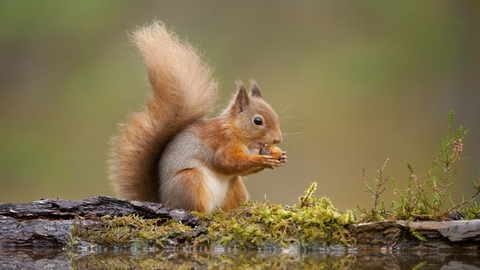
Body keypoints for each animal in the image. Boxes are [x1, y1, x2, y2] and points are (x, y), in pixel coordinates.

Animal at [109, 21, 286, 213]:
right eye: (257, 121)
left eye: (276, 115)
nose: (277, 139)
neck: (237, 132)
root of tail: (165, 201)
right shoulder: (219, 143)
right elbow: (227, 162)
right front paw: (263, 159)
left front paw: (281, 156)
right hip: (189, 181)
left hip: (235, 186)